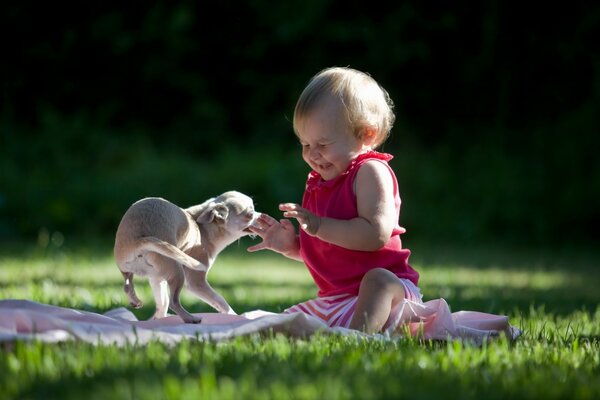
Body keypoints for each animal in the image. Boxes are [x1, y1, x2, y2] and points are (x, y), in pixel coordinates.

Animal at [113, 189, 258, 324]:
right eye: (250, 214)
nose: (261, 216)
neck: (203, 228)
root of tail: (138, 241)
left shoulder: (157, 279)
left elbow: (162, 303)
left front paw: (158, 319)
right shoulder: (196, 282)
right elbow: (219, 300)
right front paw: (234, 315)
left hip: (132, 269)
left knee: (128, 286)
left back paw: (136, 301)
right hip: (177, 272)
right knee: (173, 302)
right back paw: (190, 318)